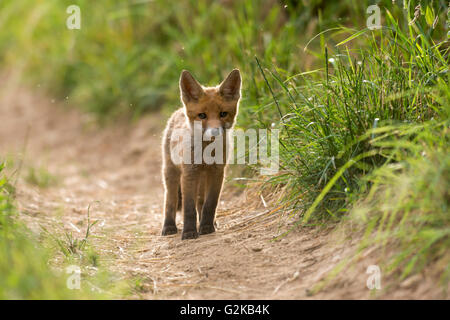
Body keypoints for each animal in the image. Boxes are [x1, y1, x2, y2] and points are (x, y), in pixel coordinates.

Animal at [161, 70, 241, 240]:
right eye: (202, 115)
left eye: (223, 114)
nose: (215, 132)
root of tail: (178, 111)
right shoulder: (189, 173)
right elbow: (188, 208)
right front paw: (189, 232)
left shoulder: (217, 172)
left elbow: (210, 204)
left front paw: (206, 227)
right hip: (171, 173)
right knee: (170, 201)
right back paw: (169, 226)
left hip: (203, 177)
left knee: (200, 201)